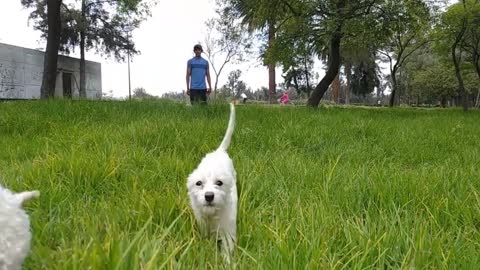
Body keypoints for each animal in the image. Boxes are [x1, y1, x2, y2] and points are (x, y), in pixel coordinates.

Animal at [188, 102, 239, 258]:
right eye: (199, 183)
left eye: (219, 183)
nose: (209, 196)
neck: (213, 214)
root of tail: (219, 151)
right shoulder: (203, 225)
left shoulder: (227, 231)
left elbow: (227, 249)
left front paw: (227, 261)